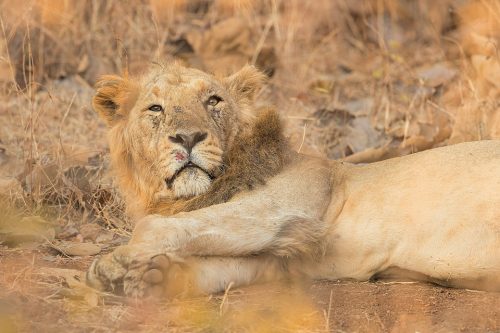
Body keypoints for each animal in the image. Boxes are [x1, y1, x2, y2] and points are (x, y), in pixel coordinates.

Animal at [86, 61, 500, 296]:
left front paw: (113, 265)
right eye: (155, 108)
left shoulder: (285, 210)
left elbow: (153, 226)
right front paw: (157, 277)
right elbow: (219, 267)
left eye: (213, 101)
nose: (188, 137)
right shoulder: (281, 257)